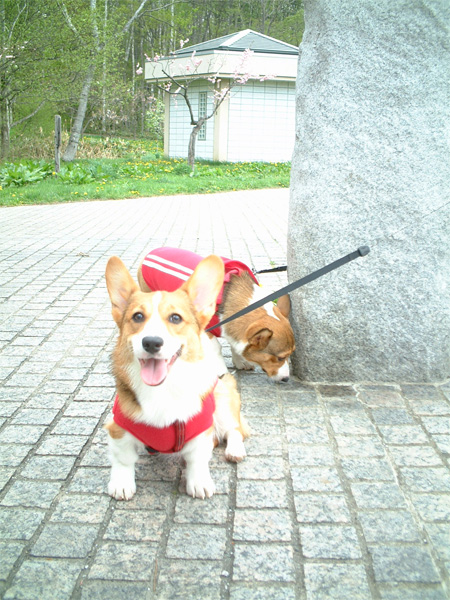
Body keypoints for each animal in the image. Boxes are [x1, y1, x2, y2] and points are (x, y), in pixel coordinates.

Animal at [104, 253, 249, 500]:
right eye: (138, 316)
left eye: (175, 318)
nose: (152, 342)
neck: (162, 390)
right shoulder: (118, 428)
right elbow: (123, 459)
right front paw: (122, 483)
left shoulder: (202, 429)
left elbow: (197, 458)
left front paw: (199, 482)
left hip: (222, 394)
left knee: (234, 429)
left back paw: (235, 449)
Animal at [137, 247, 296, 383]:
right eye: (280, 358)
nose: (287, 379)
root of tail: (150, 252)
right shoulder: (208, 331)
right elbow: (217, 349)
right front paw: (222, 372)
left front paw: (240, 362)